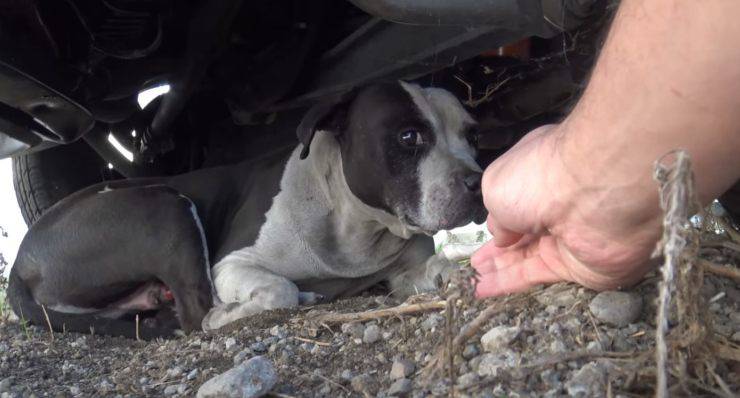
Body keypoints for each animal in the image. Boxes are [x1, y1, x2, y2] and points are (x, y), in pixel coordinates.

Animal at [10, 82, 492, 338]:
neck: (355, 225)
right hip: (165, 206)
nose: (477, 181)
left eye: (472, 135)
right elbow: (276, 289)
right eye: (409, 137)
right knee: (198, 314)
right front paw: (279, 297)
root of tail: (21, 263)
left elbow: (433, 266)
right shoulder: (233, 264)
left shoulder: (402, 270)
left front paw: (455, 272)